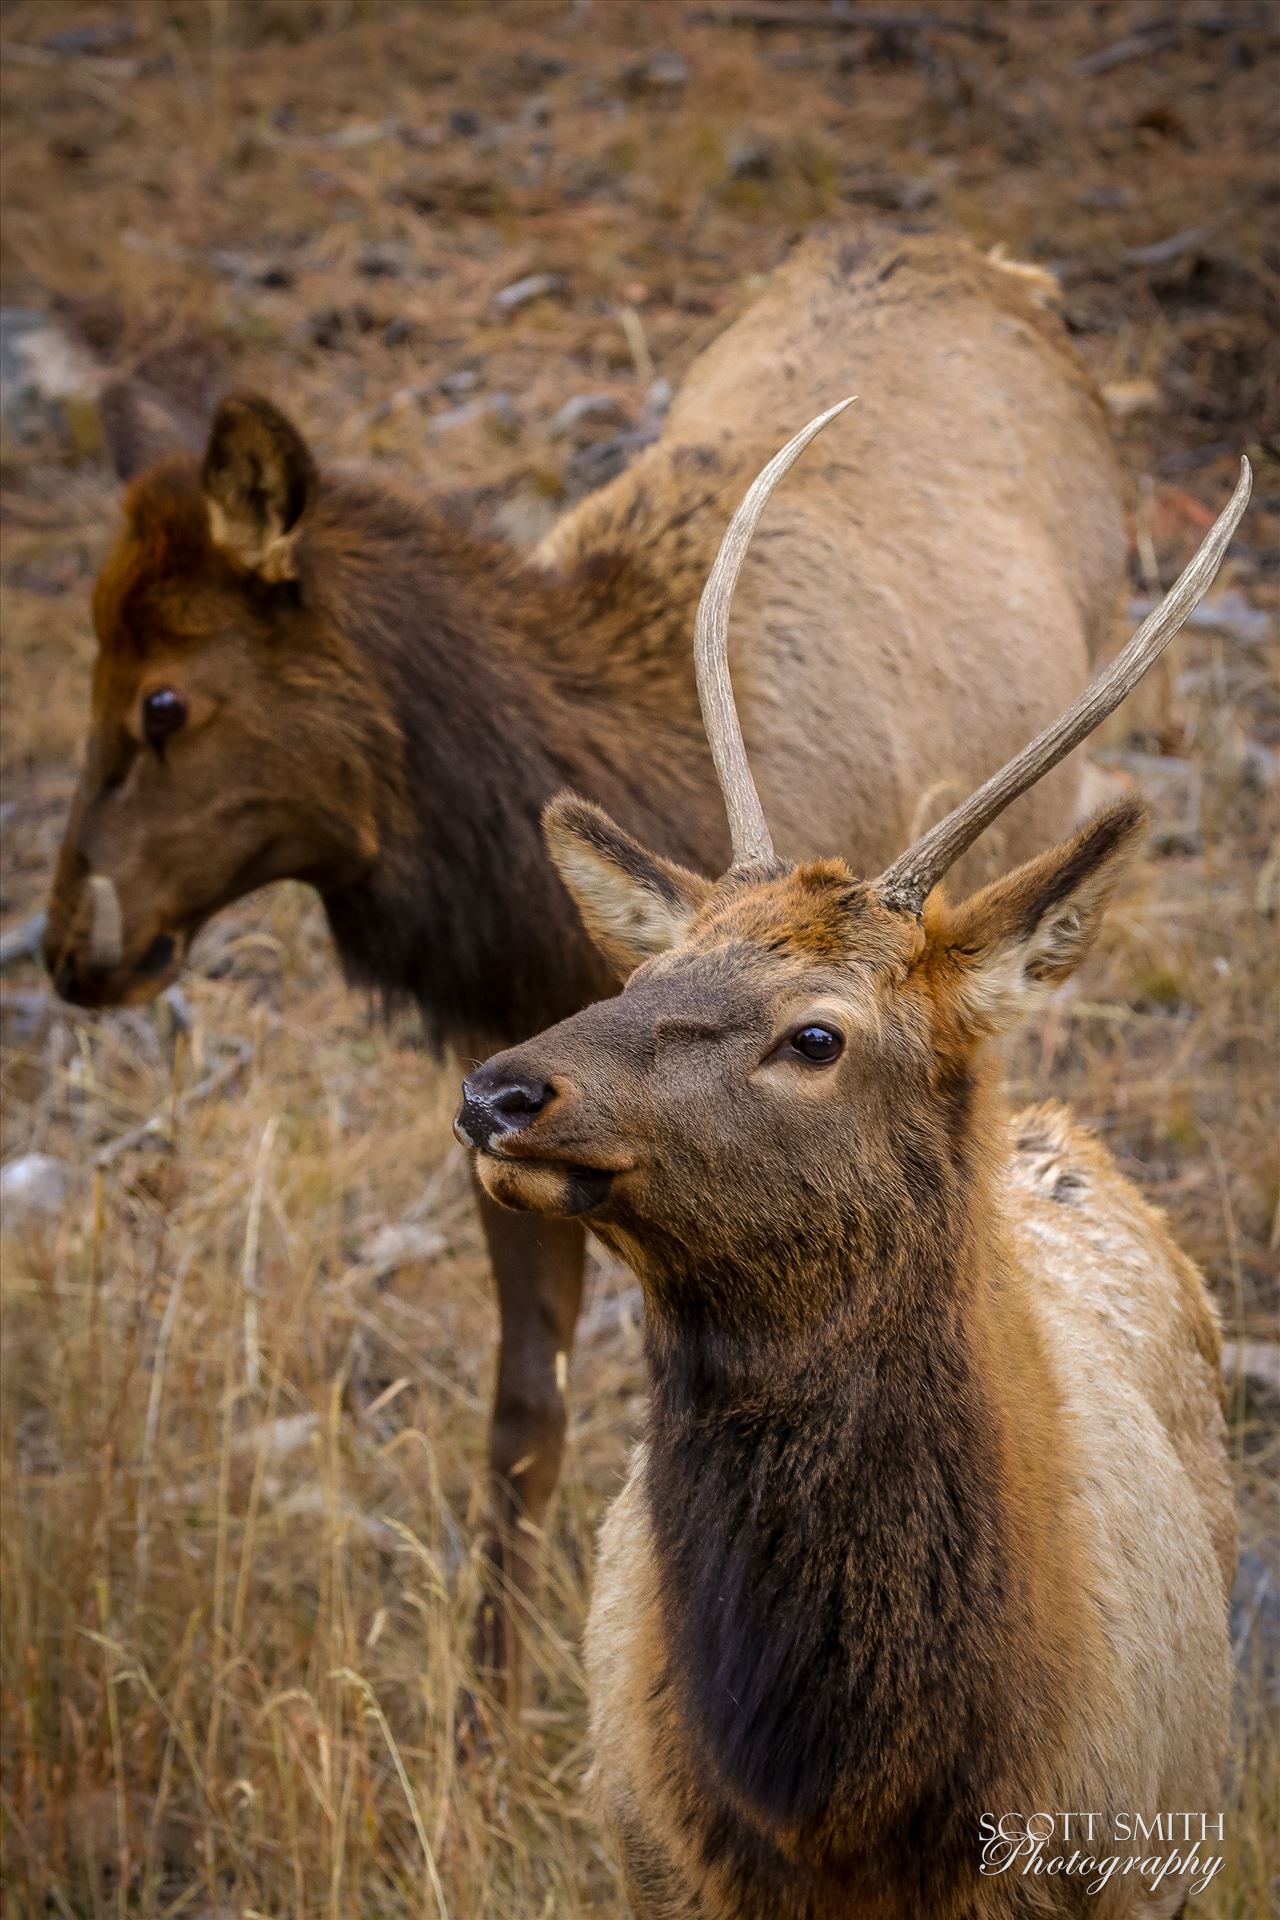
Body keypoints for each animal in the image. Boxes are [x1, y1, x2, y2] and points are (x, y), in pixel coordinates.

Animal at [45, 224, 1128, 1712]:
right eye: (91, 661)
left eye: (163, 698)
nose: (65, 948)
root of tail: (982, 258)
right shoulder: (493, 1093)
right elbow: (523, 1410)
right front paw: (484, 1700)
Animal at [454, 424, 1243, 1920]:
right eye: (636, 976)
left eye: (815, 1034)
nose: (497, 1091)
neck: (844, 1808)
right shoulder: (650, 1864)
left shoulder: (1121, 1869)